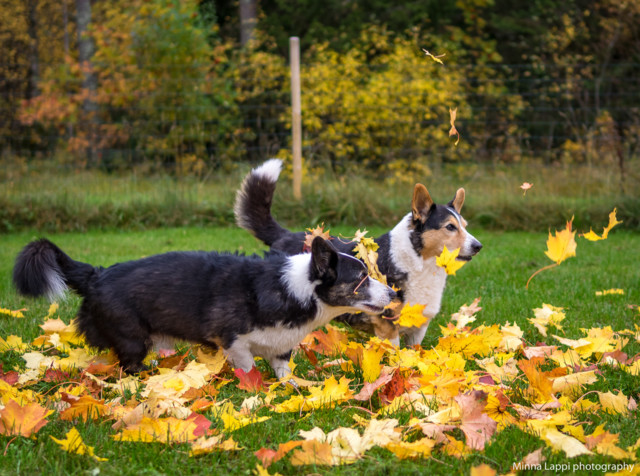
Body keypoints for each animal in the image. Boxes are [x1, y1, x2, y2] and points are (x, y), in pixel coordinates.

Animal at [12, 236, 396, 378]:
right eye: (361, 278)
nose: (394, 295)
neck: (296, 288)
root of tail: (96, 274)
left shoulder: (281, 349)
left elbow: (283, 373)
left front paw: (292, 389)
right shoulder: (234, 342)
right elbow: (248, 369)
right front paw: (254, 392)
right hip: (133, 338)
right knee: (128, 363)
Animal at [234, 159, 480, 346]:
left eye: (465, 226)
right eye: (450, 227)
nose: (479, 246)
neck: (421, 263)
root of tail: (283, 235)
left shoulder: (418, 328)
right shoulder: (387, 325)